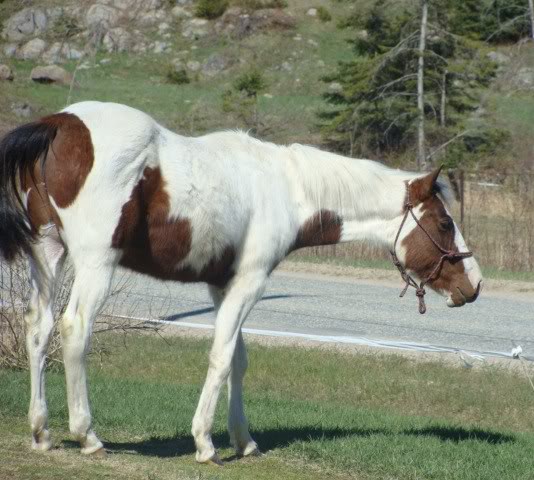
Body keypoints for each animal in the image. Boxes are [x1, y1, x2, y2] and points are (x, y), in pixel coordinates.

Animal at [0, 101, 486, 464]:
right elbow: (221, 355)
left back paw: (41, 431)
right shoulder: (250, 281)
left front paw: (244, 439)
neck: (287, 189)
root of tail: (61, 123)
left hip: (48, 255)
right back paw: (87, 435)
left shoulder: (222, 285)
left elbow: (238, 358)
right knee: (74, 329)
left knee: (38, 328)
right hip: (96, 264)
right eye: (444, 224)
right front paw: (206, 443)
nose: (475, 285)